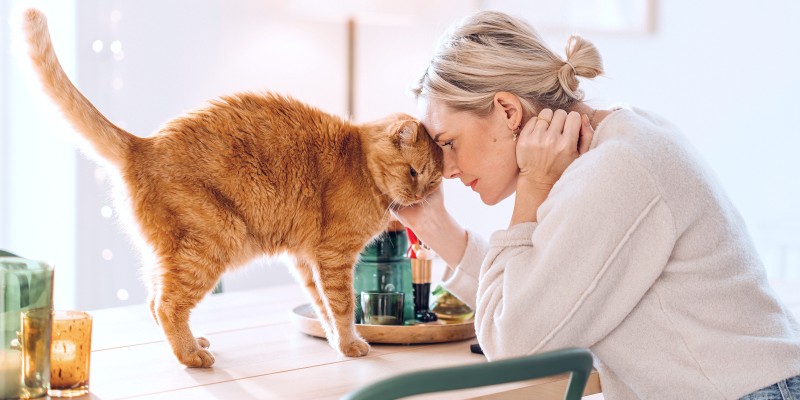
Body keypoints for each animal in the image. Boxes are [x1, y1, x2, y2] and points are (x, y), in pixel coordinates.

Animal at [21, 9, 440, 368]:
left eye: (433, 182)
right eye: (414, 172)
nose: (421, 196)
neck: (360, 162)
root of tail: (143, 144)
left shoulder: (307, 259)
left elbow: (322, 307)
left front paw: (339, 342)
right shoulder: (334, 257)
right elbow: (341, 307)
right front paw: (351, 343)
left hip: (169, 253)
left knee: (153, 299)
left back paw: (193, 340)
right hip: (216, 239)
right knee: (167, 306)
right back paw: (191, 354)